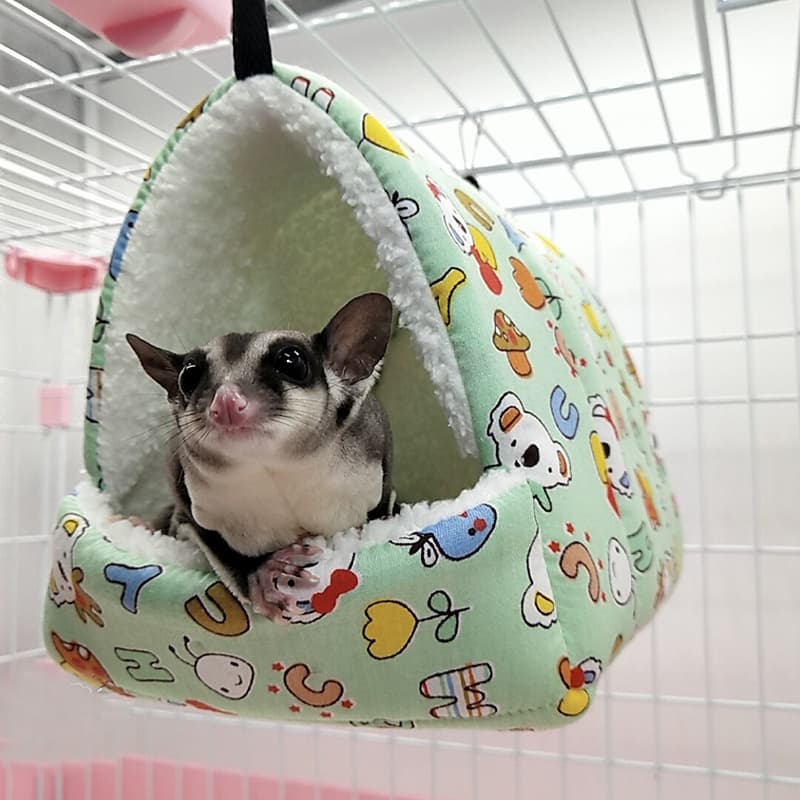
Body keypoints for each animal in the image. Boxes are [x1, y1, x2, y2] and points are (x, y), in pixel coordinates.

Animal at [126, 293, 394, 621]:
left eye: (291, 361)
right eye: (188, 376)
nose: (227, 401)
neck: (272, 468)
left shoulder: (376, 464)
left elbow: (381, 513)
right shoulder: (188, 496)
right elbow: (208, 537)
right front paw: (263, 574)